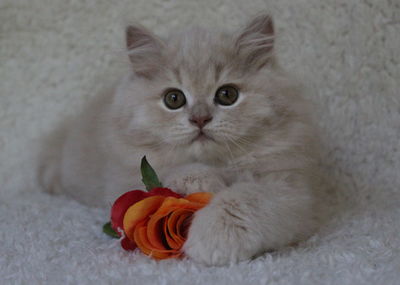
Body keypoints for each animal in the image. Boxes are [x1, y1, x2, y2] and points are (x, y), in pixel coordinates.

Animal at [39, 14, 328, 266]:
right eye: (174, 99)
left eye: (227, 95)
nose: (200, 118)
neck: (219, 165)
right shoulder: (125, 177)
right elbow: (178, 170)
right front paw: (200, 181)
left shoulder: (290, 190)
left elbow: (243, 200)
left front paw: (214, 240)